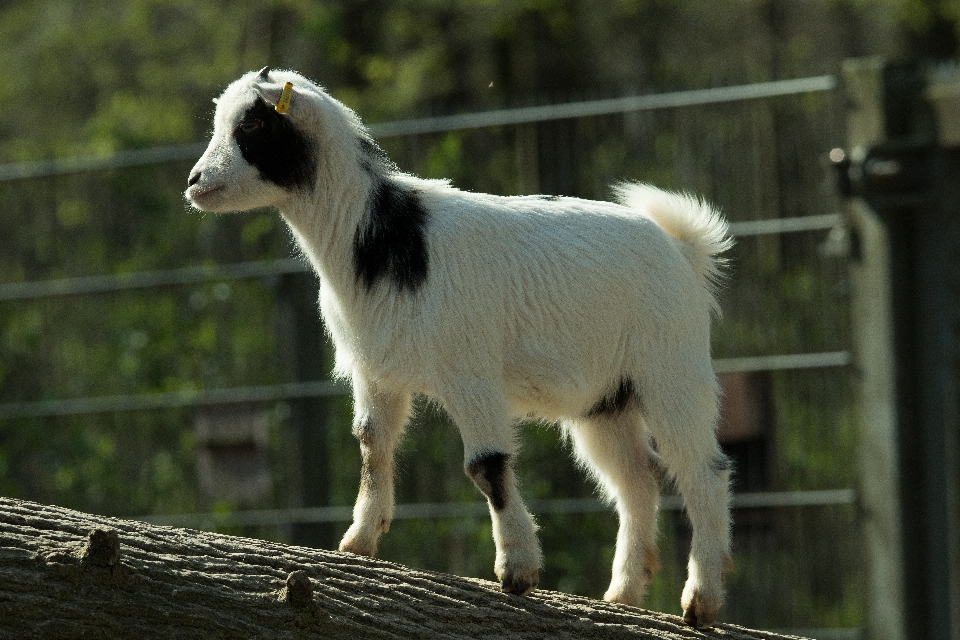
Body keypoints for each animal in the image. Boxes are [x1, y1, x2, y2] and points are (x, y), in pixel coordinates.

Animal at [191, 67, 740, 628]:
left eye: (253, 125)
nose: (194, 182)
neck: (385, 240)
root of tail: (683, 249)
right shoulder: (376, 372)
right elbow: (372, 445)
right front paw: (358, 542)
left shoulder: (469, 372)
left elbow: (487, 465)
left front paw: (517, 571)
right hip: (605, 400)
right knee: (636, 478)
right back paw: (622, 595)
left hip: (671, 368)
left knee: (703, 472)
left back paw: (700, 601)